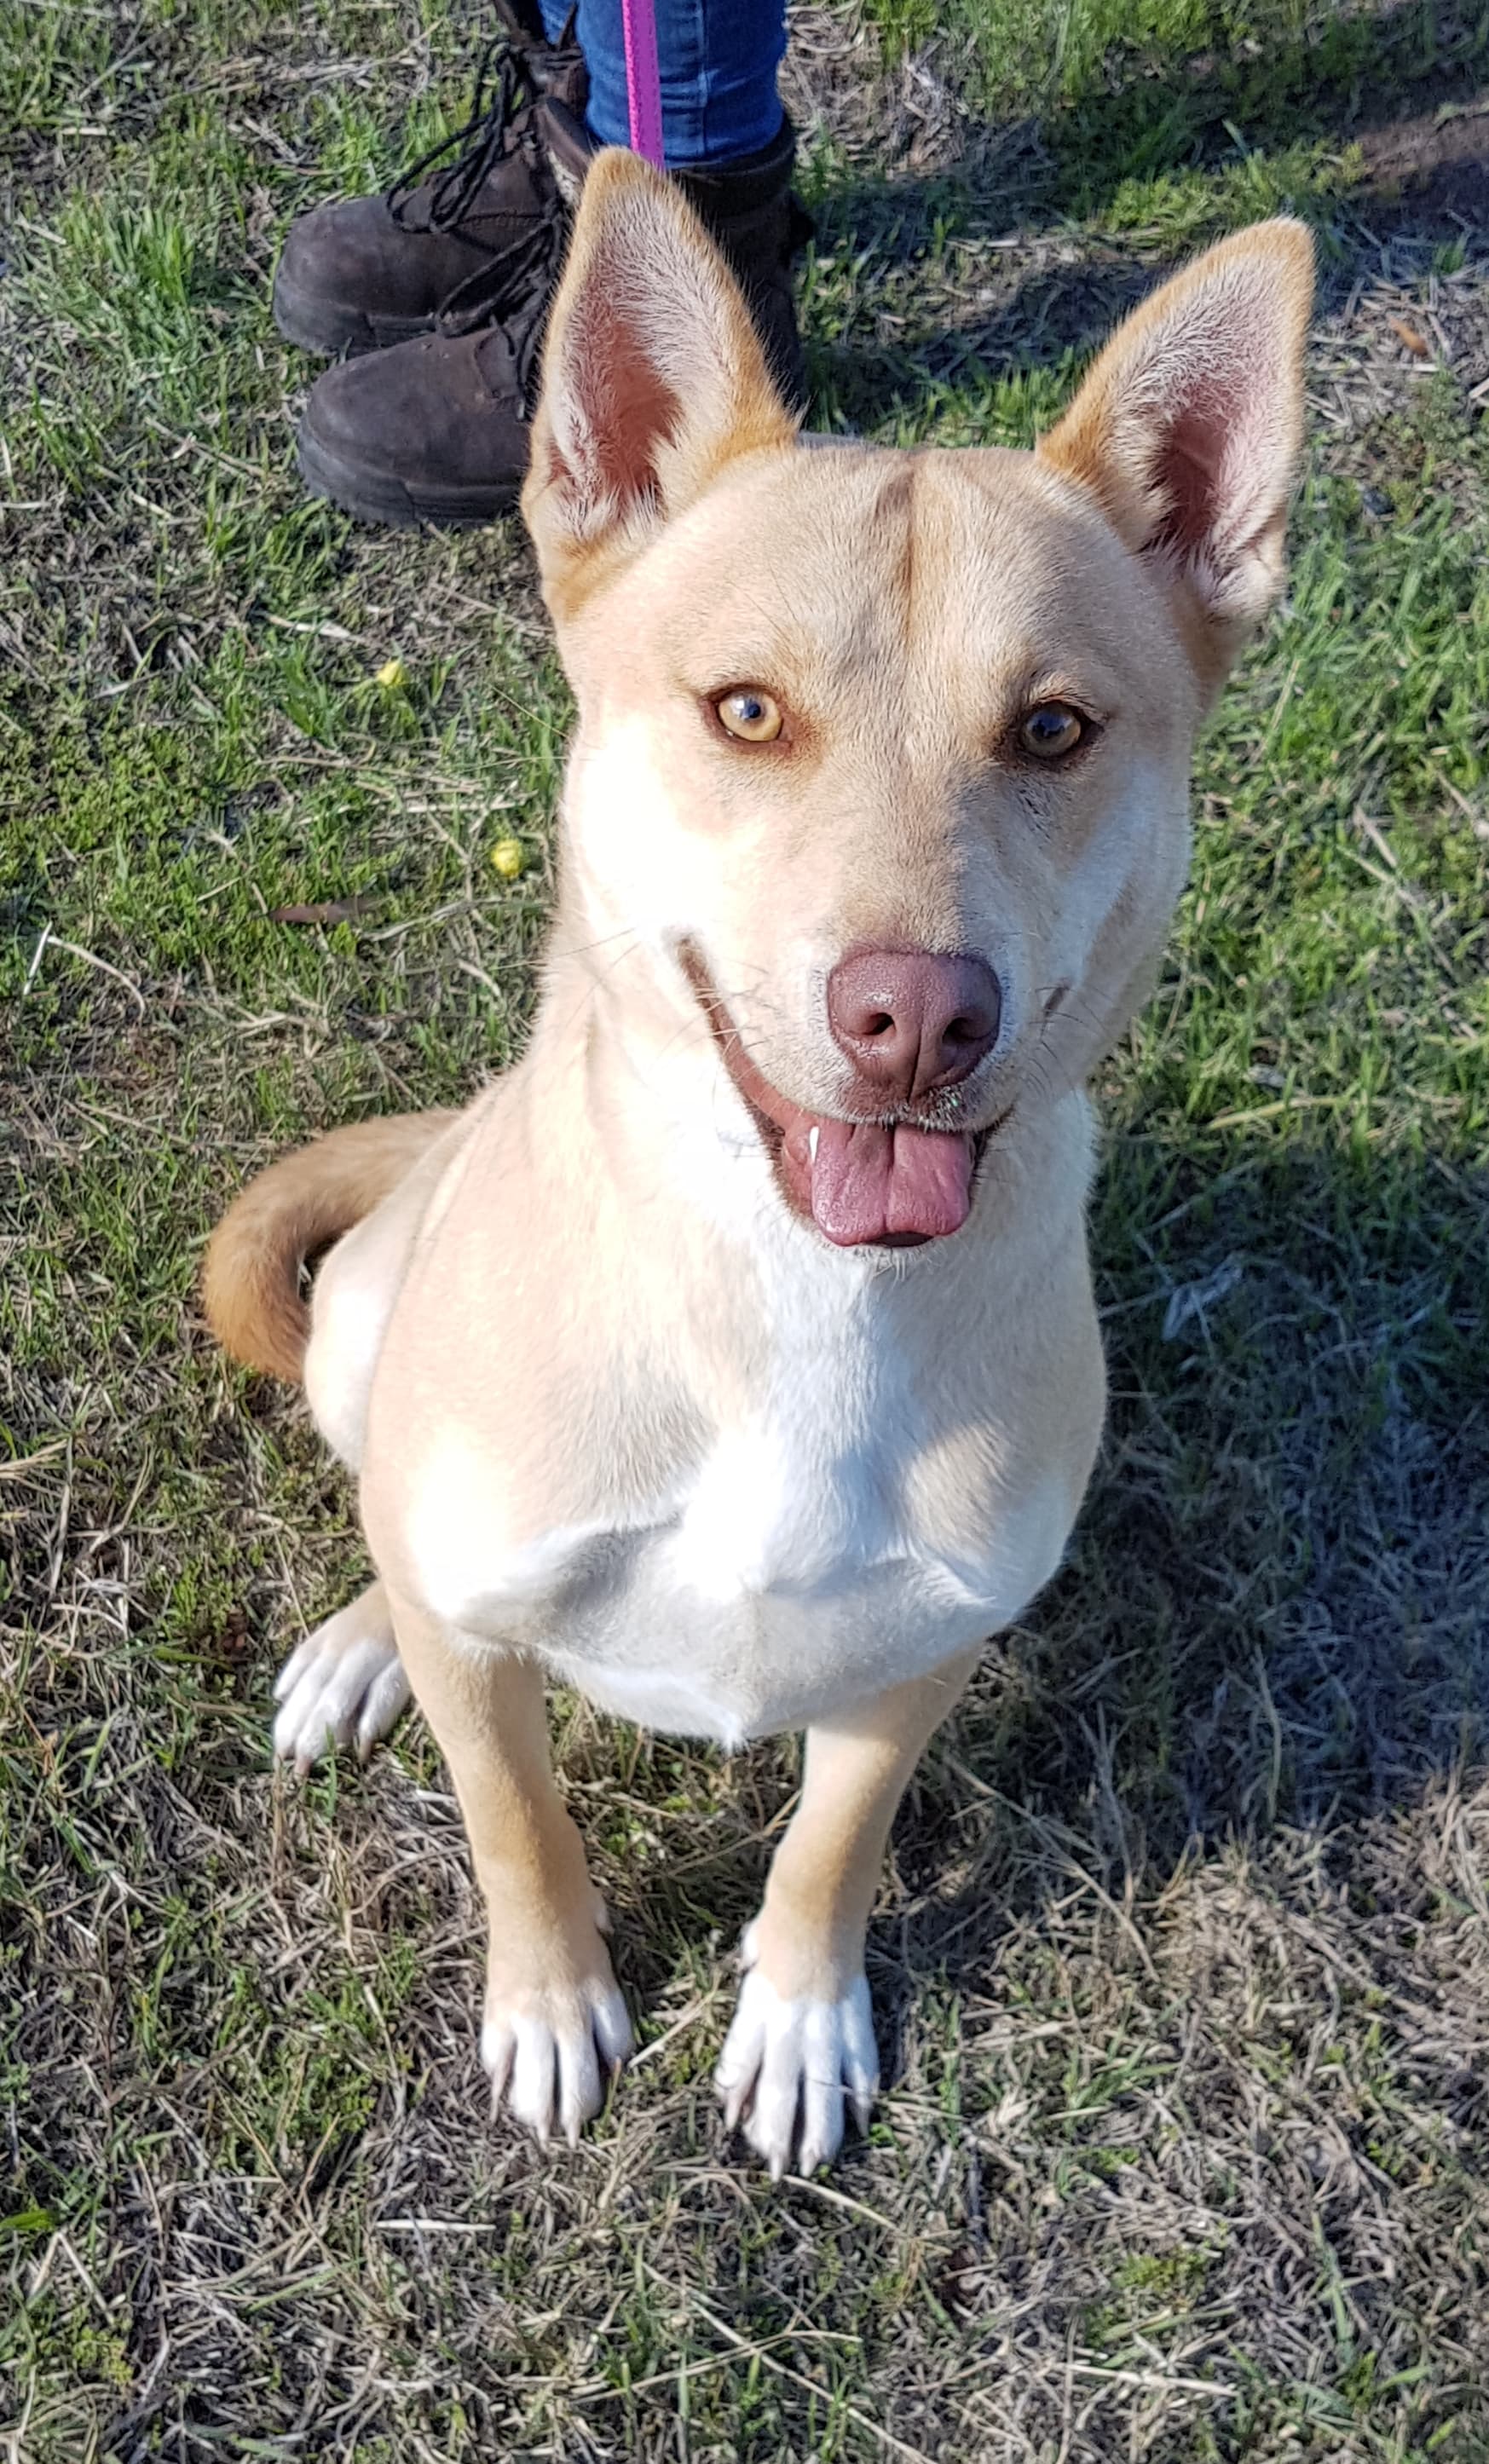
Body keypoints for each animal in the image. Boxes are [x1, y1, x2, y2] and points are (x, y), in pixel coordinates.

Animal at [204, 153, 1312, 2178]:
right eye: (743, 711)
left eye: (1052, 727)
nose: (914, 1017)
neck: (796, 1287)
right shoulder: (495, 1637)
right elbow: (516, 1822)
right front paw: (550, 2003)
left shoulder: (924, 1648)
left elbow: (828, 1846)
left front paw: (796, 2015)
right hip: (363, 1337)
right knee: (390, 1525)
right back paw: (363, 1641)